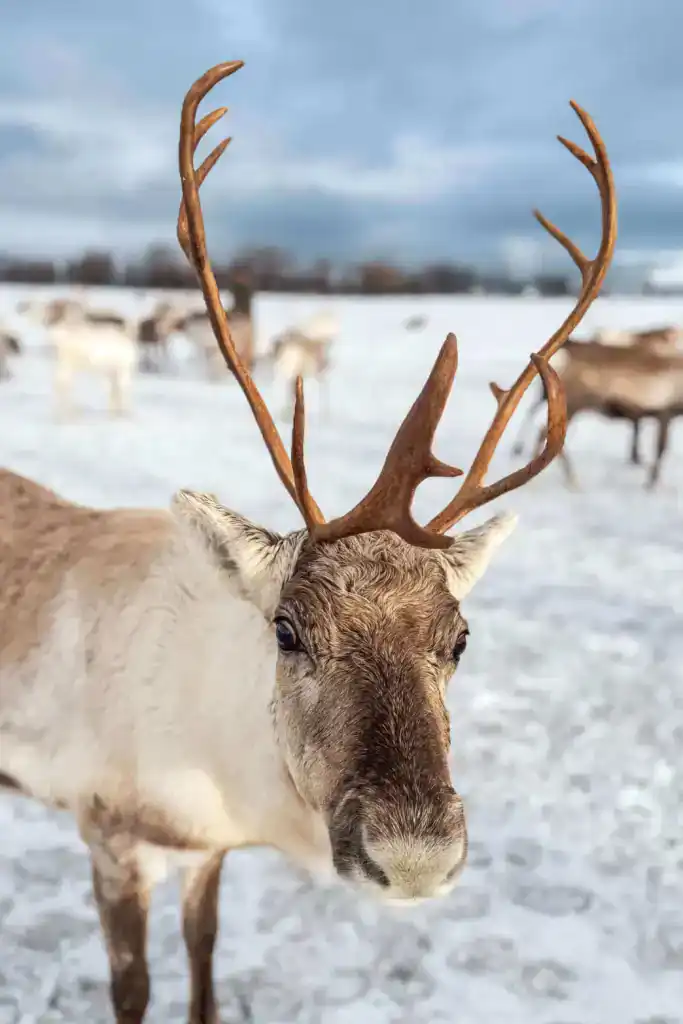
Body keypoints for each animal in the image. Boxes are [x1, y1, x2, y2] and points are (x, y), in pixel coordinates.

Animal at [0, 61, 616, 1024]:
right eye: (287, 630)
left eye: (460, 638)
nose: (414, 861)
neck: (219, 763)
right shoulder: (109, 834)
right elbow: (133, 990)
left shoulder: (205, 850)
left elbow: (205, 955)